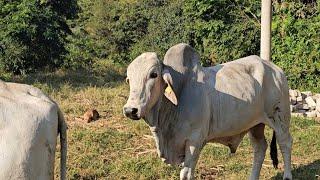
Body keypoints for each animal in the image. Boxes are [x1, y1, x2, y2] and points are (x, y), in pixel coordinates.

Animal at [124, 43, 294, 180]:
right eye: (129, 79)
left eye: (153, 74)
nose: (130, 110)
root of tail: (276, 70)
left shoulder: (194, 140)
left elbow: (186, 174)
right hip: (255, 124)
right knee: (260, 148)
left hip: (280, 117)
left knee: (285, 143)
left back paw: (287, 176)